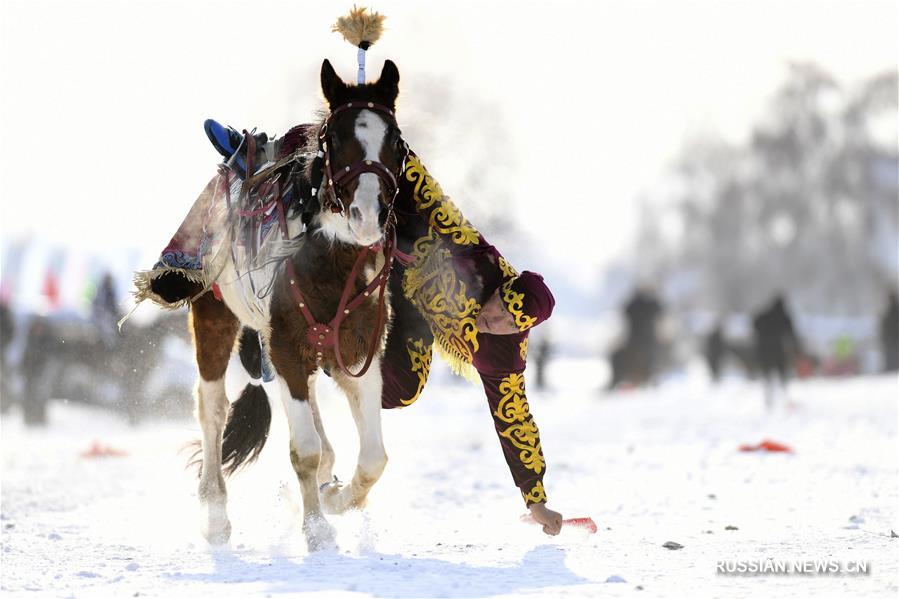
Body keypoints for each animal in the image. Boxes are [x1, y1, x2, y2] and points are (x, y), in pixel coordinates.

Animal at [177, 58, 408, 552]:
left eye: (396, 141)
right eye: (333, 138)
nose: (366, 216)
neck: (327, 261)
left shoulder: (357, 352)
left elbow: (373, 459)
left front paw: (336, 498)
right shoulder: (283, 345)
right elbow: (304, 450)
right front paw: (317, 529)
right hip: (215, 318)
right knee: (212, 408)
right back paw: (215, 515)